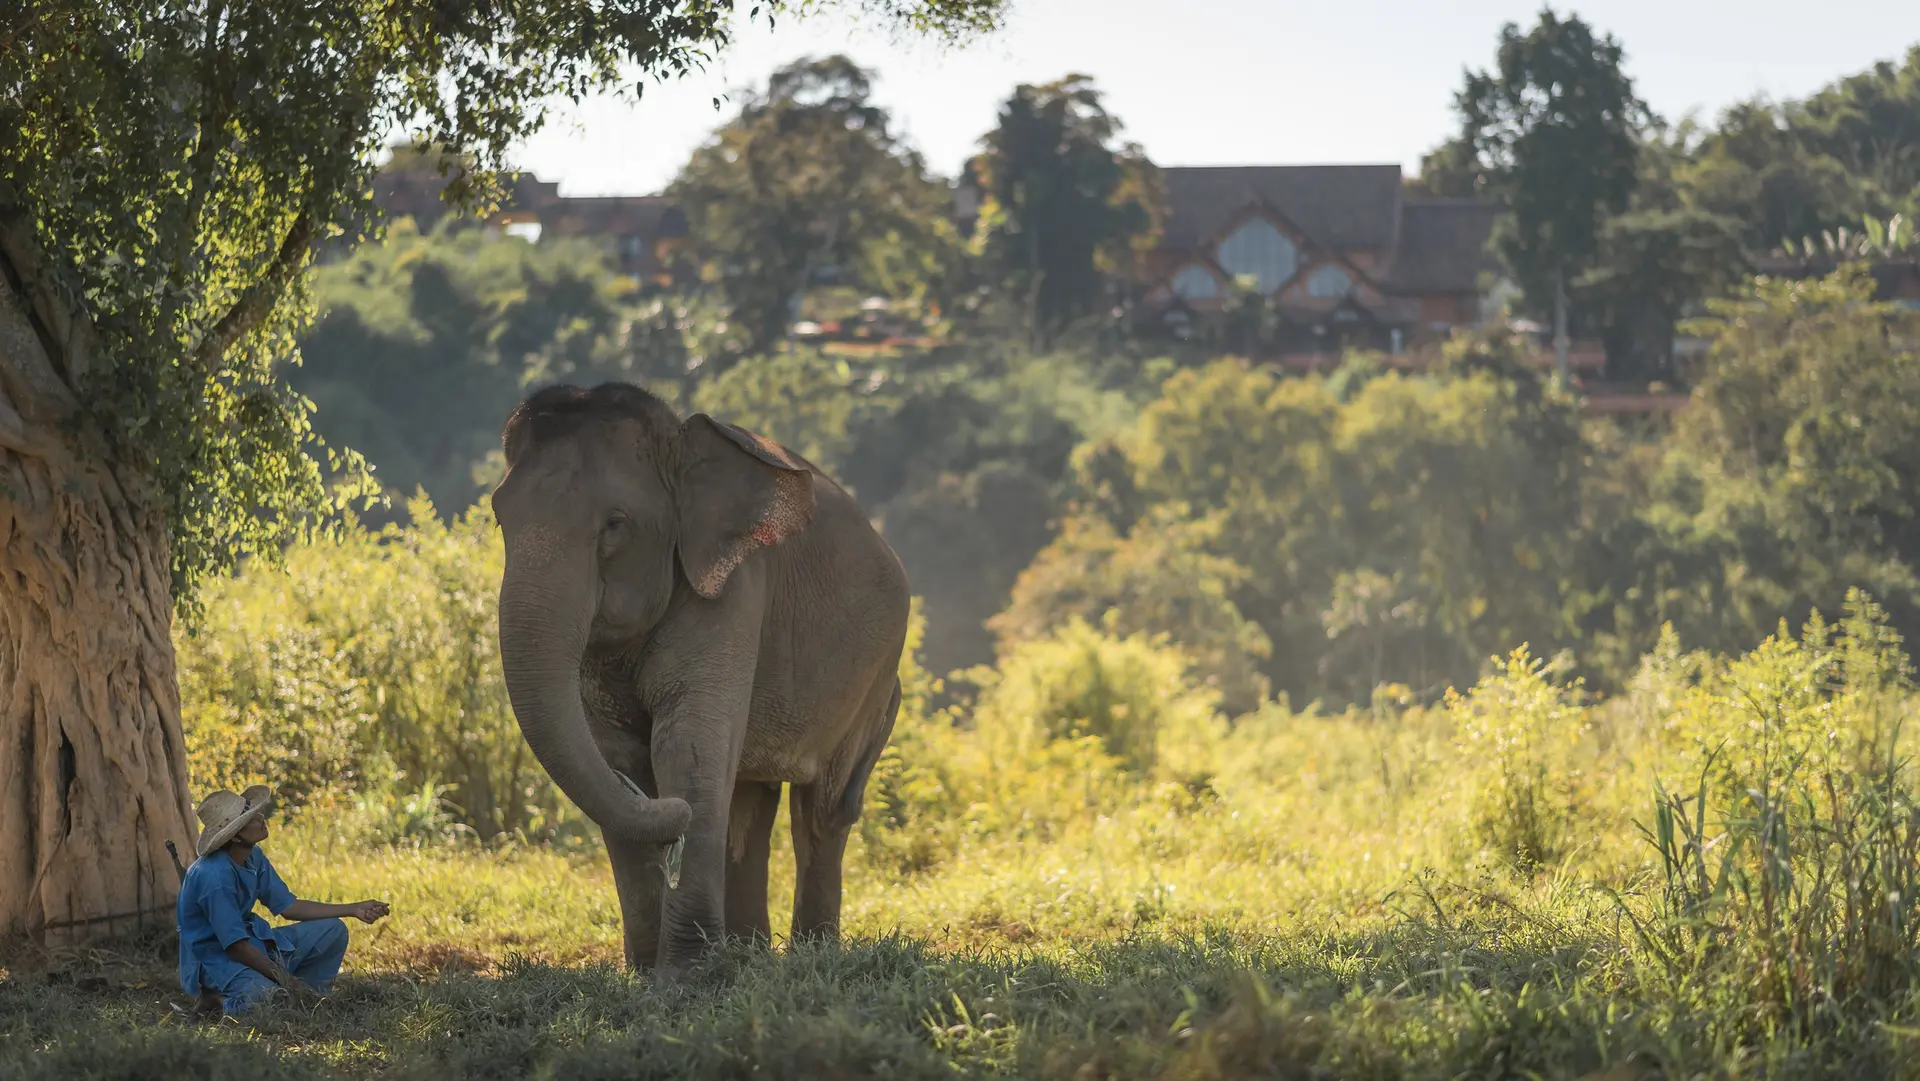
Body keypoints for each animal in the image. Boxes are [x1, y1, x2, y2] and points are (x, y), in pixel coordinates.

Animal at [489, 381, 910, 973]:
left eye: (615, 523)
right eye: (498, 517)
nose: (672, 813)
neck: (680, 444)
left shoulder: (734, 591)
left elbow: (686, 745)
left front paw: (689, 976)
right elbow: (613, 751)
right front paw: (647, 973)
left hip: (876, 682)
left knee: (823, 810)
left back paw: (811, 955)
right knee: (750, 805)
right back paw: (751, 954)